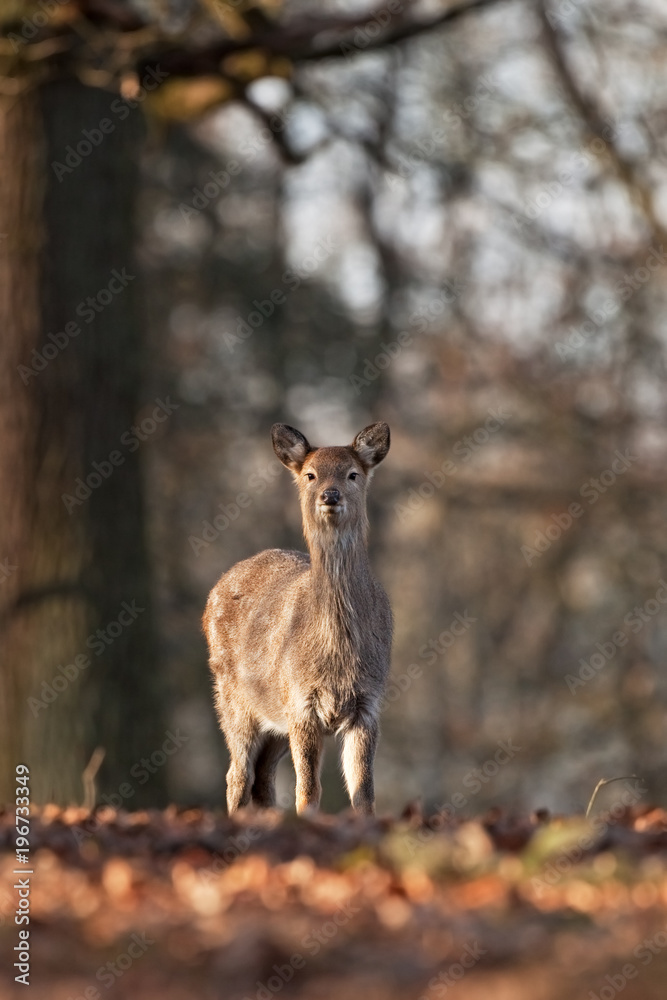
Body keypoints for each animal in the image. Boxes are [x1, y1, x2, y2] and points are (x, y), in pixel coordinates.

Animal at [203, 421, 392, 816]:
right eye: (310, 474)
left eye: (353, 474)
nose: (330, 495)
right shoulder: (301, 702)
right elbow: (308, 790)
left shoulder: (368, 703)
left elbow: (363, 792)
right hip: (232, 697)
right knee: (237, 775)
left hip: (274, 717)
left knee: (261, 777)